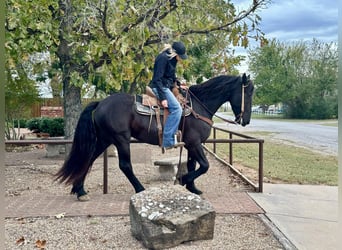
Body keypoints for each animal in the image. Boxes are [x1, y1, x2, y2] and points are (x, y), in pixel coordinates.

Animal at [55, 73, 254, 200]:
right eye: (248, 92)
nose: (246, 120)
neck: (198, 105)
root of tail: (100, 103)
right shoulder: (194, 143)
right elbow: (204, 166)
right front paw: (182, 180)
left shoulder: (191, 145)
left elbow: (192, 165)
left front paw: (193, 188)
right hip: (120, 139)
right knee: (125, 165)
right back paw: (140, 189)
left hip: (105, 140)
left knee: (87, 160)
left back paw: (80, 191)